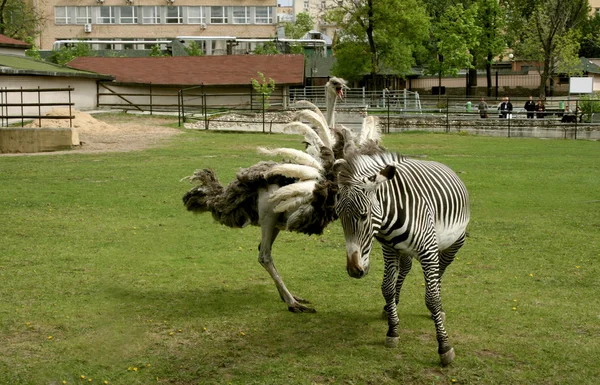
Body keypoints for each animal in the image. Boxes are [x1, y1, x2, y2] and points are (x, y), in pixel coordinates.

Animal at [332, 151, 468, 366]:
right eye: (339, 217)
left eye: (363, 215)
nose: (354, 270)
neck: (389, 218)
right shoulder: (389, 248)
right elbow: (386, 288)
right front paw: (393, 329)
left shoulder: (429, 250)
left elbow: (432, 298)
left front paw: (444, 346)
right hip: (403, 250)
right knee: (406, 267)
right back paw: (392, 305)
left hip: (455, 242)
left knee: (440, 271)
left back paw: (437, 308)